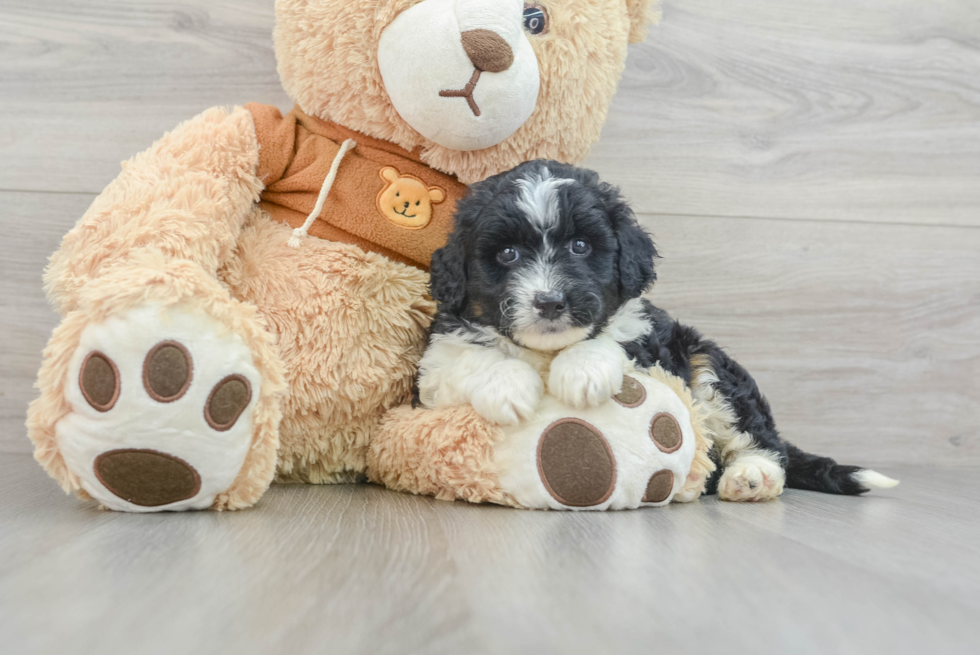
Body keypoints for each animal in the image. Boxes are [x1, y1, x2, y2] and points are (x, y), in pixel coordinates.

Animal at [418, 161, 900, 504]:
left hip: (708, 367)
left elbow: (612, 338)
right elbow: (465, 356)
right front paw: (508, 387)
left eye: (580, 246)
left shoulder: (651, 342)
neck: (548, 352)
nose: (550, 301)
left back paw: (752, 476)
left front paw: (581, 373)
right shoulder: (435, 363)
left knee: (759, 438)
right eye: (507, 254)